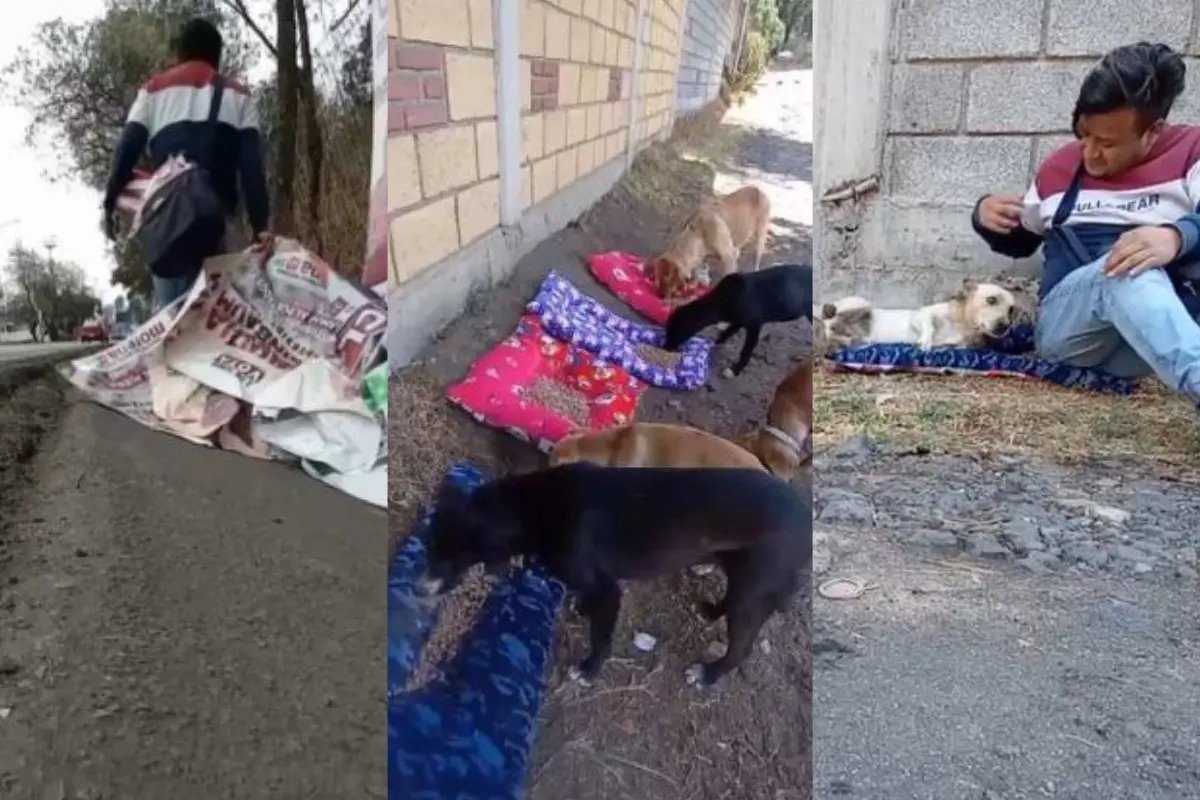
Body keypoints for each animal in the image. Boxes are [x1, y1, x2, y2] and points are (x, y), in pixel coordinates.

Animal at [417, 462, 811, 690]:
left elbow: (600, 637)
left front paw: (589, 670)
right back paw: (710, 611)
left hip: (753, 590)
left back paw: (708, 674)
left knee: (741, 648)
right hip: (740, 575)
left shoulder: (608, 590)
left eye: (449, 558)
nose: (418, 589)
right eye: (429, 545)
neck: (534, 508)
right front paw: (581, 609)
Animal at [667, 261, 816, 376]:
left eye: (675, 330)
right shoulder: (737, 321)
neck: (721, 300)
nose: (666, 347)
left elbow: (746, 351)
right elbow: (726, 333)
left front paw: (734, 370)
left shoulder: (754, 325)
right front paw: (715, 343)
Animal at [820, 280, 1017, 352]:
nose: (1005, 326)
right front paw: (925, 341)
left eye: (1011, 310)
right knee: (831, 314)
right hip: (862, 303)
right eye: (991, 300)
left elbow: (959, 345)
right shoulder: (921, 315)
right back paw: (829, 311)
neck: (961, 323)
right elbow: (928, 326)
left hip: (854, 335)